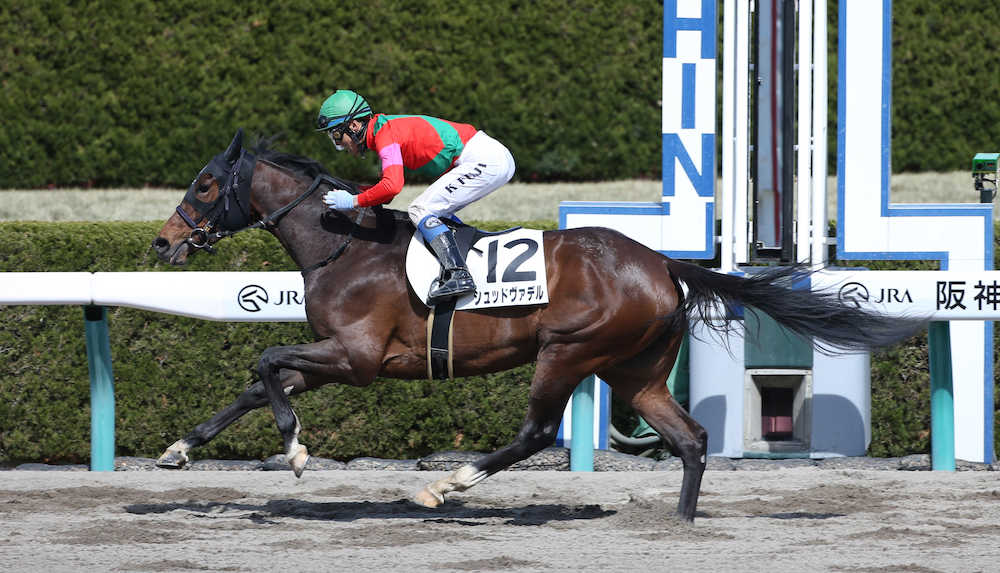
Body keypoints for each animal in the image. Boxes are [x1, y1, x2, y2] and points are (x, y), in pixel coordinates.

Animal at [151, 129, 925, 522]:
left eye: (205, 185)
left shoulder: (359, 356)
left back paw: (448, 484)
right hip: (636, 371)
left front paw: (295, 450)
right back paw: (676, 519)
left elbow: (265, 362)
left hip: (568, 350)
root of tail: (663, 263)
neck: (342, 246)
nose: (162, 243)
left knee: (537, 432)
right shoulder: (342, 357)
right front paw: (179, 449)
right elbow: (258, 382)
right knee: (691, 438)